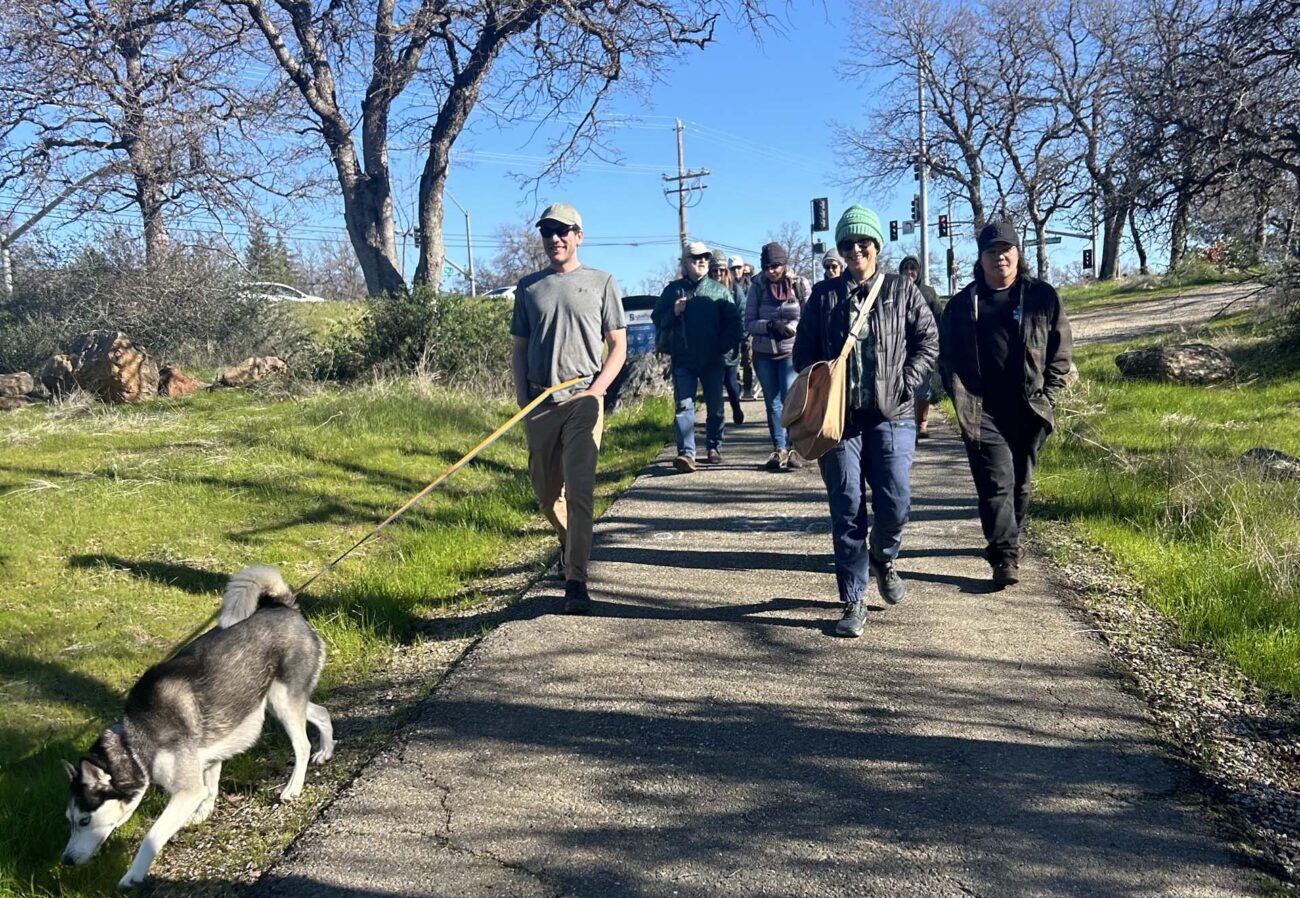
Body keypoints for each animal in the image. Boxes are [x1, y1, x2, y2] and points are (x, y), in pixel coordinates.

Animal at [62, 566, 335, 888]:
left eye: (84, 820)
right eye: (69, 820)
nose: (65, 861)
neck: (134, 742)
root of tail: (284, 605)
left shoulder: (186, 790)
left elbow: (152, 836)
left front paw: (133, 874)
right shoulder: (208, 757)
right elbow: (210, 788)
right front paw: (203, 813)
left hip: (283, 703)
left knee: (302, 744)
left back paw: (293, 787)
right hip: (278, 701)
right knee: (322, 713)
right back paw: (326, 751)